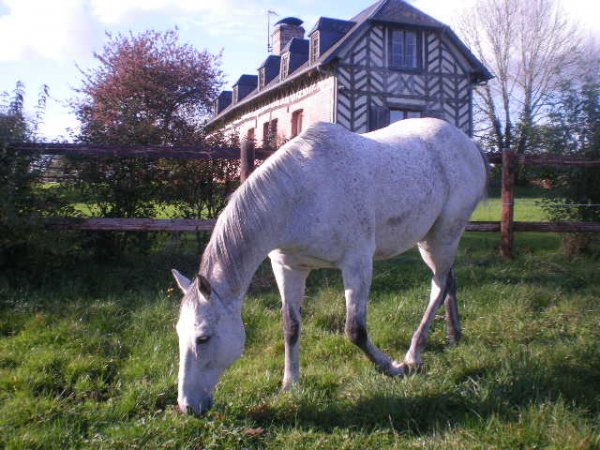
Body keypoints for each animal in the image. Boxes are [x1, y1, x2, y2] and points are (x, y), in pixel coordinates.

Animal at [170, 118, 488, 414]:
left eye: (203, 338)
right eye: (178, 333)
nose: (187, 407)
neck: (302, 194)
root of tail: (467, 142)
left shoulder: (357, 264)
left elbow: (355, 330)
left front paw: (393, 368)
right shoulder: (288, 268)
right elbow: (290, 326)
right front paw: (290, 385)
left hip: (442, 235)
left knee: (439, 285)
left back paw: (413, 355)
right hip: (436, 238)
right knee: (448, 280)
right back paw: (453, 335)